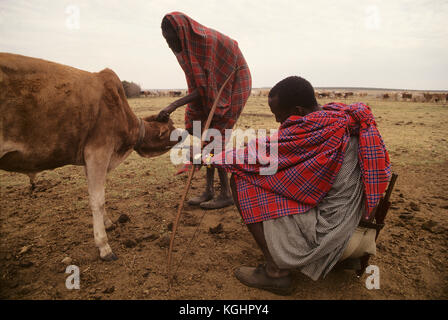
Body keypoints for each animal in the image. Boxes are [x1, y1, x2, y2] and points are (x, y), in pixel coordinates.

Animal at [0, 53, 178, 260]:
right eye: (170, 130)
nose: (185, 133)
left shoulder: (91, 159)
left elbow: (100, 196)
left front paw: (108, 222)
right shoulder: (98, 153)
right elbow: (97, 200)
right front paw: (104, 246)